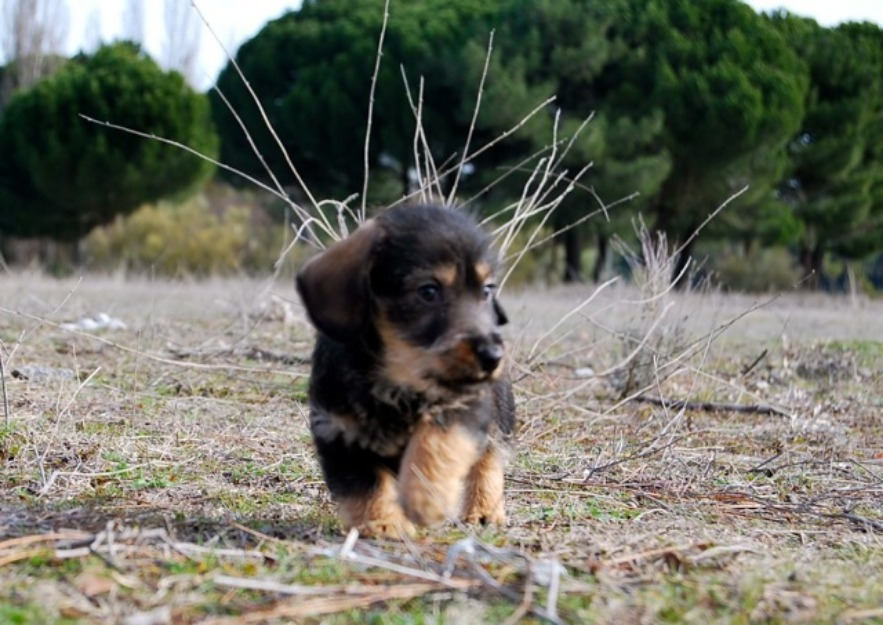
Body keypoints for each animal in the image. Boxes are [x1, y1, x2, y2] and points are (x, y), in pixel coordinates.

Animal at [298, 204, 516, 536]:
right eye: (428, 291)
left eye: (487, 290)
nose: (493, 356)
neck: (400, 379)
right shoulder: (338, 433)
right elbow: (367, 484)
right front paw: (385, 523)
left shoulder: (464, 405)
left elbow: (436, 443)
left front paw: (427, 496)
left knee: (489, 457)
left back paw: (484, 510)